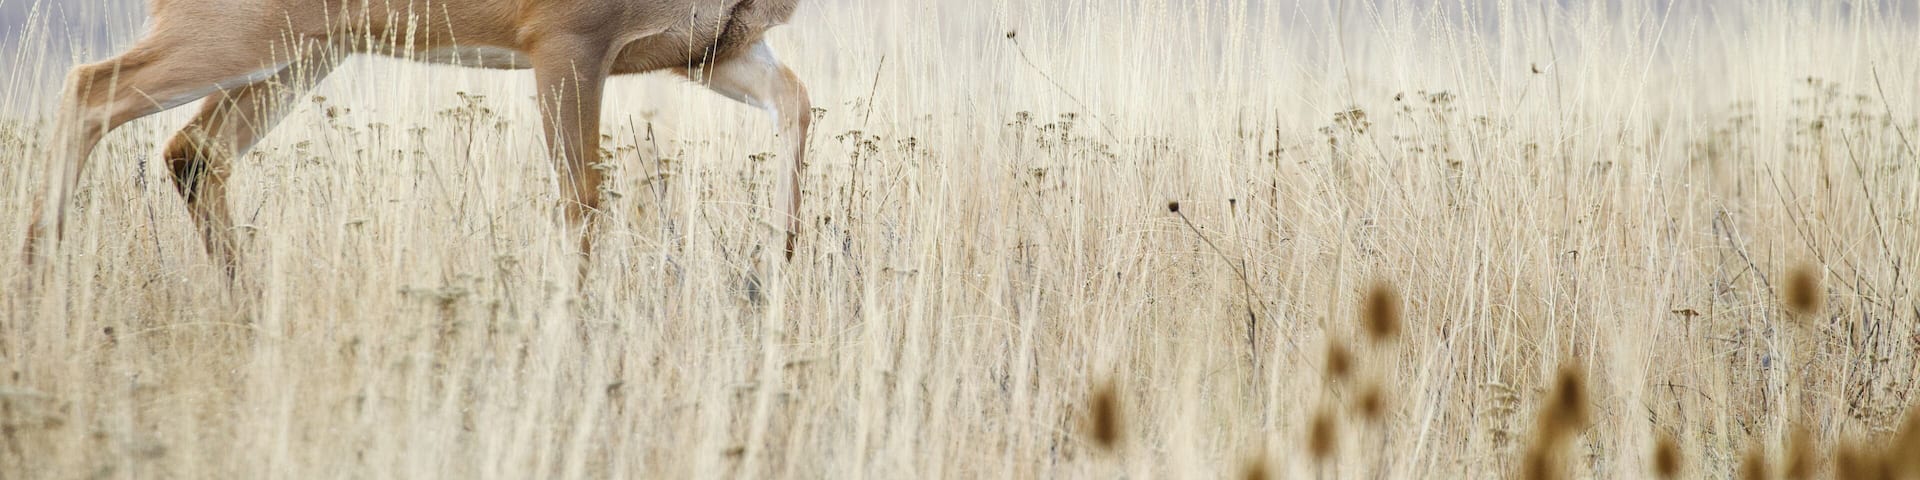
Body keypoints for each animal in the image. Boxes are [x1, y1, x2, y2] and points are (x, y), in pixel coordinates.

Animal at [26, 0, 811, 281]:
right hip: (228, 31)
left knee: (193, 152)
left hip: (303, 50)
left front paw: (778, 263)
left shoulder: (710, 46)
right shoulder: (565, 37)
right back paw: (39, 285)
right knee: (89, 88)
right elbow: (582, 196)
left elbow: (797, 106)